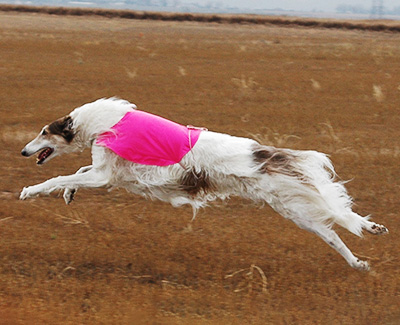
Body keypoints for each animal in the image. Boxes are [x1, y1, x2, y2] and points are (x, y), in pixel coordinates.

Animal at [19, 97, 388, 270]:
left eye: (43, 132)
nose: (23, 151)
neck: (100, 123)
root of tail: (268, 154)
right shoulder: (108, 173)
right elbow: (78, 172)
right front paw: (69, 193)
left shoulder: (105, 173)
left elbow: (61, 176)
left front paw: (29, 191)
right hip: (297, 210)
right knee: (335, 232)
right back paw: (361, 256)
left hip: (295, 201)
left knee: (340, 218)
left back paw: (370, 232)